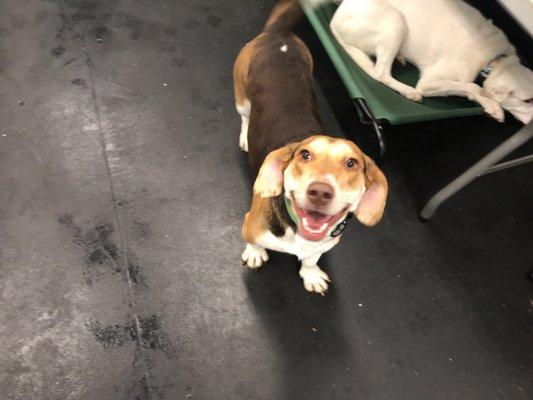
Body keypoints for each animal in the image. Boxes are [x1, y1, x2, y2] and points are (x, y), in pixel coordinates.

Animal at [233, 0, 386, 294]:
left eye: (352, 163)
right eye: (304, 155)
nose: (320, 191)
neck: (298, 230)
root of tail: (279, 34)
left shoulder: (324, 244)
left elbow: (311, 259)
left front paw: (311, 273)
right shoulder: (250, 225)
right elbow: (254, 242)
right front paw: (255, 253)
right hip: (242, 97)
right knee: (245, 116)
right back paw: (246, 135)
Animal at [318, 0, 528, 123]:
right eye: (528, 100)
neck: (493, 60)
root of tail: (334, 18)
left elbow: (471, 88)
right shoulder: (429, 82)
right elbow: (472, 86)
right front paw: (491, 104)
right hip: (396, 20)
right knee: (381, 73)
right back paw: (408, 91)